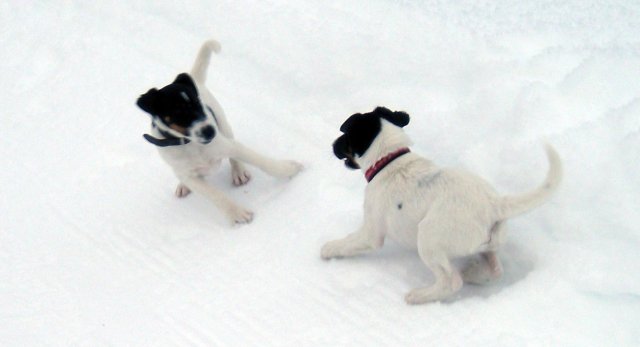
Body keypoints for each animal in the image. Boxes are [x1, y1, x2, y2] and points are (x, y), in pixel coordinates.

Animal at [134, 40, 302, 226]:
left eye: (199, 103)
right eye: (178, 111)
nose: (210, 131)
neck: (191, 145)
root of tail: (194, 78)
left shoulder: (228, 145)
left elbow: (262, 161)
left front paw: (288, 169)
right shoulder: (190, 177)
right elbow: (215, 195)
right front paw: (236, 213)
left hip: (224, 126)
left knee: (234, 153)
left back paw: (239, 172)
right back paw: (183, 186)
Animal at [322, 107, 564, 306]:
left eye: (345, 136)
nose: (332, 146)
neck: (389, 160)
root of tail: (495, 205)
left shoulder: (371, 232)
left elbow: (349, 242)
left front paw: (328, 249)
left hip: (429, 238)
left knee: (451, 281)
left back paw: (419, 295)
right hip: (487, 244)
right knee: (495, 270)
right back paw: (472, 272)